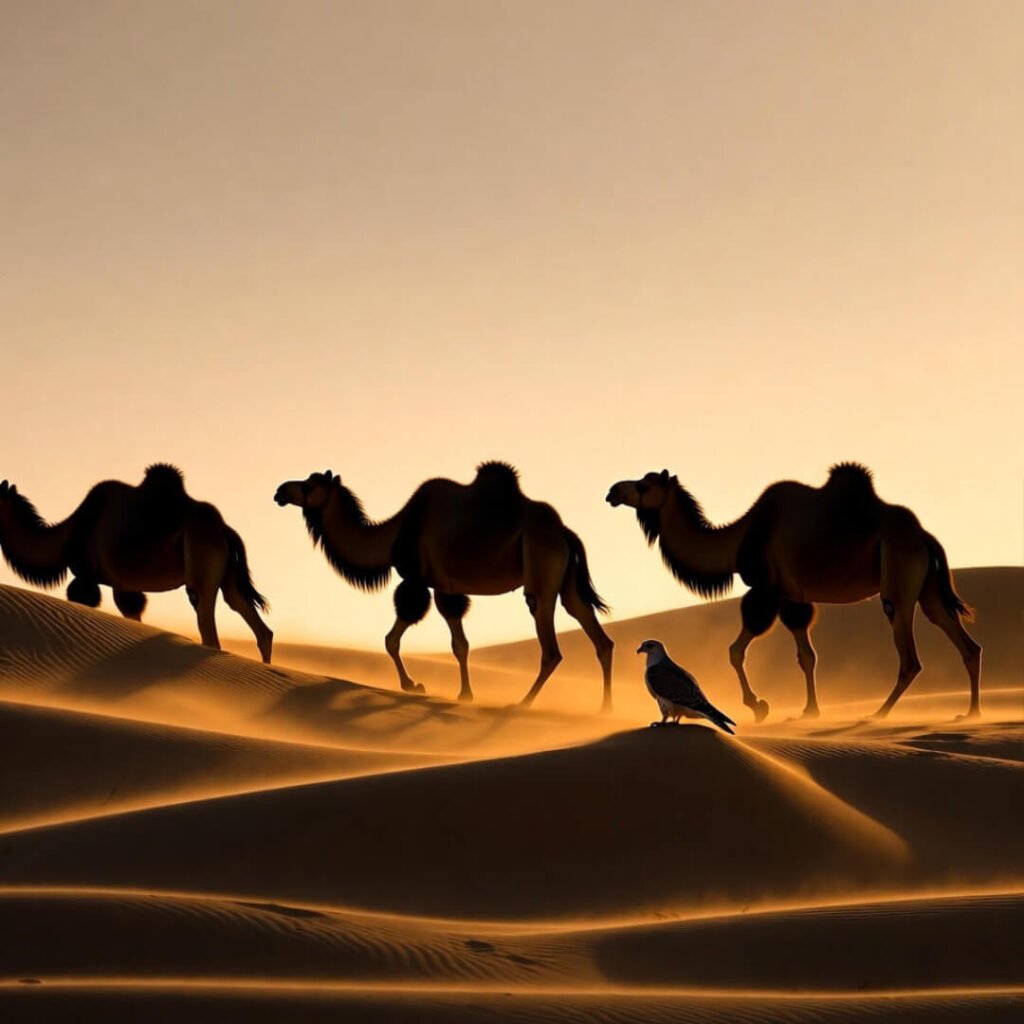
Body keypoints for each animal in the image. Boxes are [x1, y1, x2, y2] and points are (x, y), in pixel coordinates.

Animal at [0, 464, 272, 662]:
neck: (69, 534)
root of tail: (226, 530)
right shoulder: (124, 585)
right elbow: (132, 611)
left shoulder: (86, 576)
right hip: (229, 574)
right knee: (250, 617)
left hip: (201, 557)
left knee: (207, 622)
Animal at [275, 461, 614, 709]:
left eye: (309, 484)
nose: (280, 490)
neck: (393, 534)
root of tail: (565, 533)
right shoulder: (445, 587)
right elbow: (459, 644)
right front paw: (465, 694)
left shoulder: (417, 581)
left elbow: (392, 638)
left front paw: (413, 685)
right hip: (566, 582)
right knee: (598, 636)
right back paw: (604, 709)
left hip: (540, 573)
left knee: (551, 647)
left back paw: (523, 703)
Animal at [606, 463, 981, 722]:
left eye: (643, 484)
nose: (612, 491)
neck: (739, 539)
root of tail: (925, 537)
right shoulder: (794, 597)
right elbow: (806, 656)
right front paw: (809, 710)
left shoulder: (768, 592)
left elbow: (735, 651)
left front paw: (758, 706)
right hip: (927, 587)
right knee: (964, 641)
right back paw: (971, 713)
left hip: (898, 579)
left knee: (910, 656)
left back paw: (879, 713)